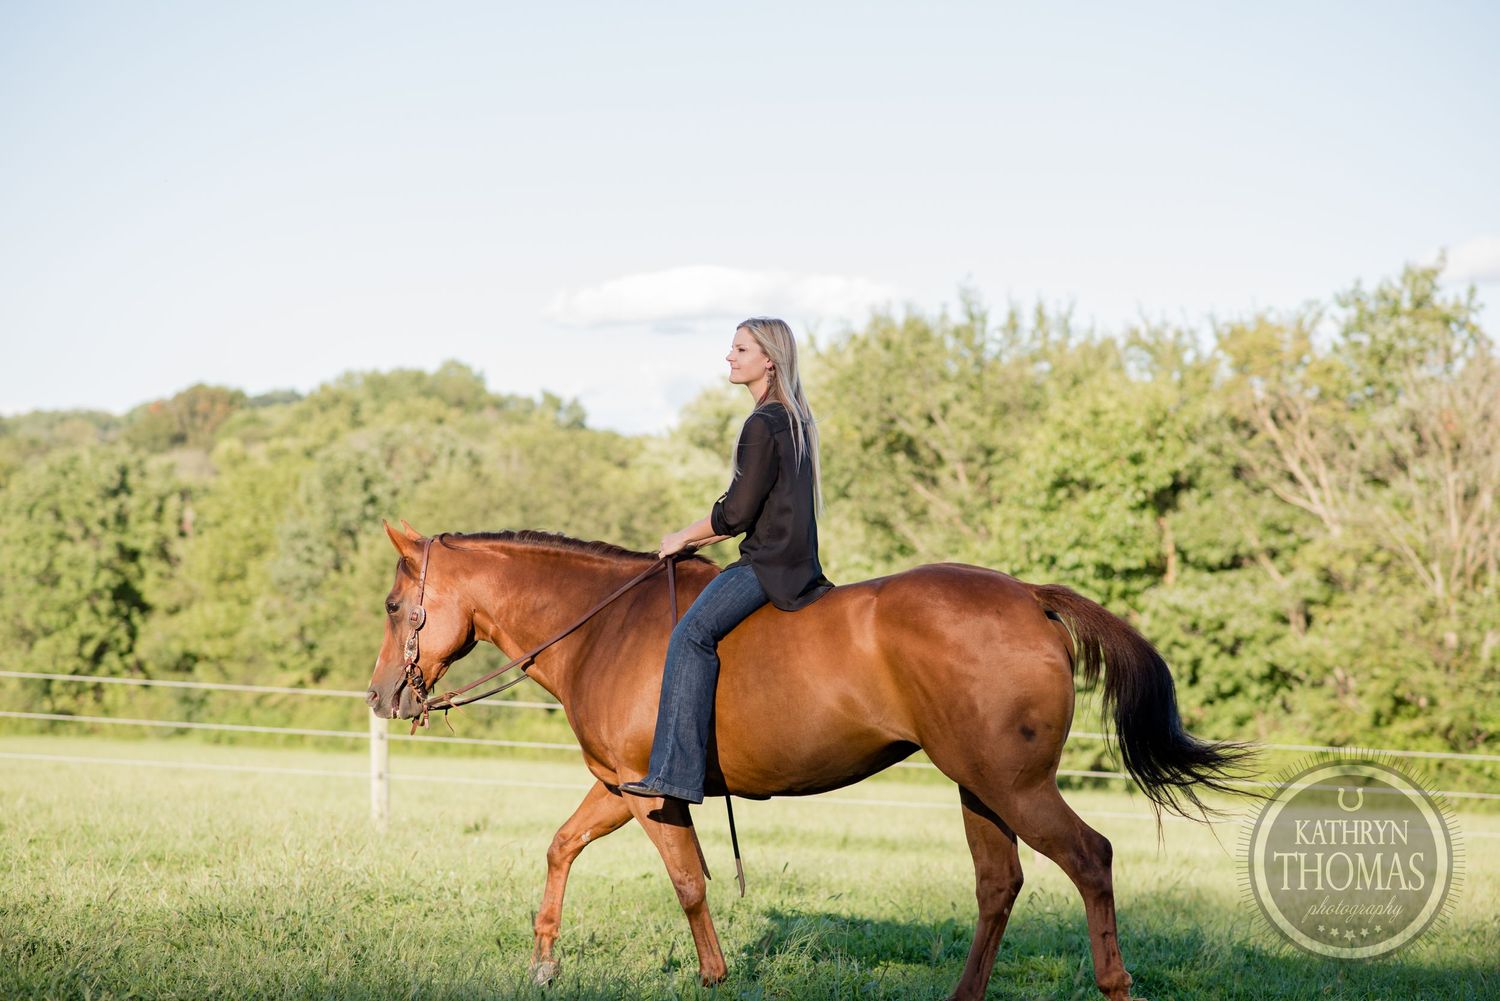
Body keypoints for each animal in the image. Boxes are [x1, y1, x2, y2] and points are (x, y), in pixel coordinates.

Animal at [364, 521, 1247, 1001]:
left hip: (1016, 786)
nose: (381, 695)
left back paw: (1114, 983)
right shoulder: (617, 786)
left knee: (1091, 858)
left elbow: (687, 882)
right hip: (982, 790)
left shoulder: (644, 793)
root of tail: (1027, 595)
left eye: (395, 605)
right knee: (999, 885)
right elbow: (562, 848)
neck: (603, 625)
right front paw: (545, 961)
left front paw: (712, 975)